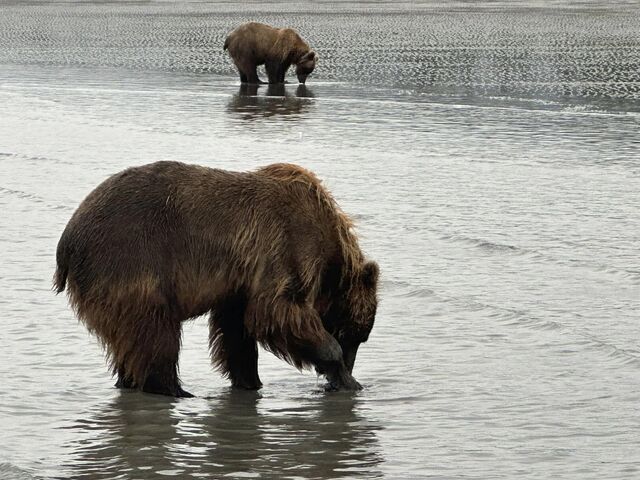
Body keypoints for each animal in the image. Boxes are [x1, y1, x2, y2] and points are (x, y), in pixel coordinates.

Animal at [53, 161, 380, 398]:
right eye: (355, 335)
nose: (348, 367)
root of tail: (68, 240)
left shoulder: (240, 285)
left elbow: (237, 331)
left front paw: (250, 381)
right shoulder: (286, 247)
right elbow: (279, 311)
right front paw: (346, 377)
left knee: (133, 342)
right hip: (134, 261)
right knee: (156, 333)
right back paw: (175, 389)